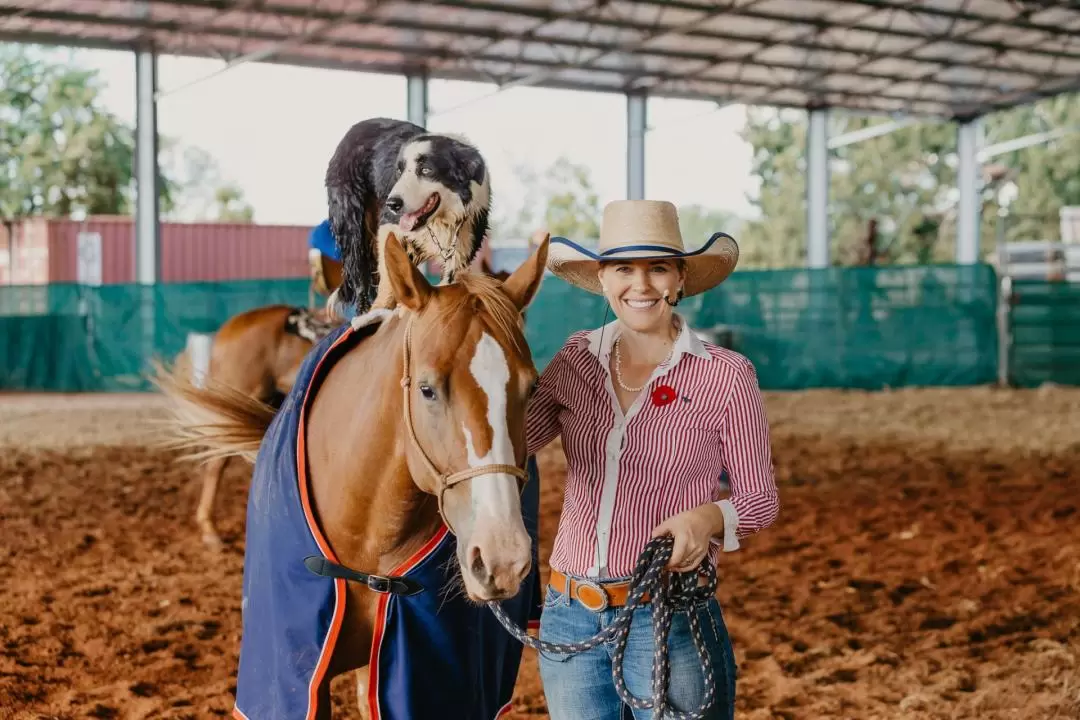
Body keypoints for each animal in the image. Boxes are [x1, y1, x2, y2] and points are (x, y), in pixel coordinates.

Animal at [319, 117, 490, 313]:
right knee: (359, 268)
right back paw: (364, 308)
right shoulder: (388, 224)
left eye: (426, 170)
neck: (441, 221)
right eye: (399, 172)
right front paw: (380, 308)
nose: (392, 204)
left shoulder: (463, 245)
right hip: (352, 224)